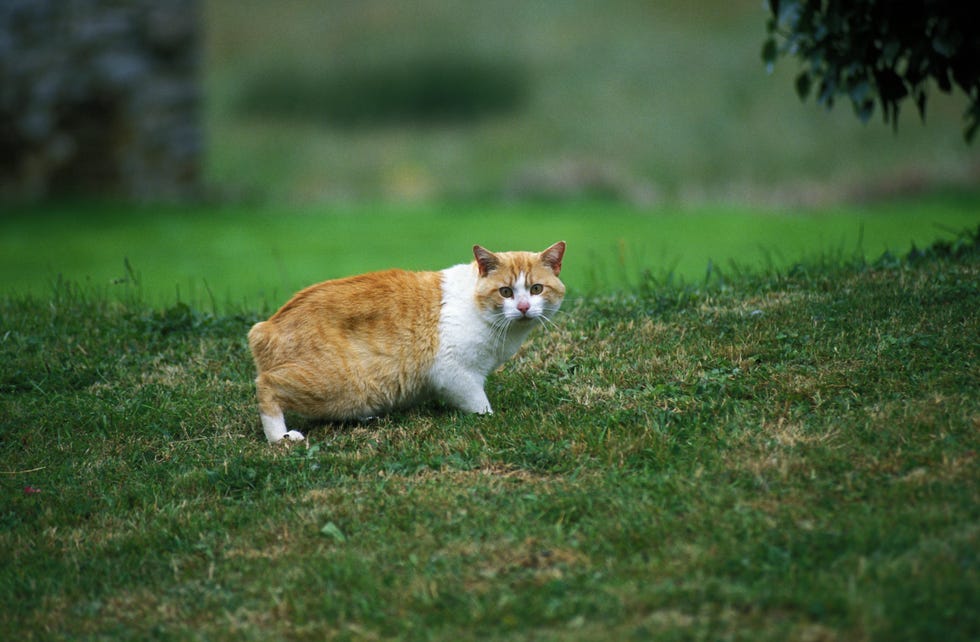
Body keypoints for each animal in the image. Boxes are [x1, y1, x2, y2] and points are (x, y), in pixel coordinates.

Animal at [247, 240, 568, 440]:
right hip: (333, 383)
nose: (524, 307)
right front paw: (489, 417)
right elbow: (479, 404)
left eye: (536, 289)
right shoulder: (455, 373)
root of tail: (267, 326)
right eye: (505, 292)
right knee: (266, 386)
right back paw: (279, 437)